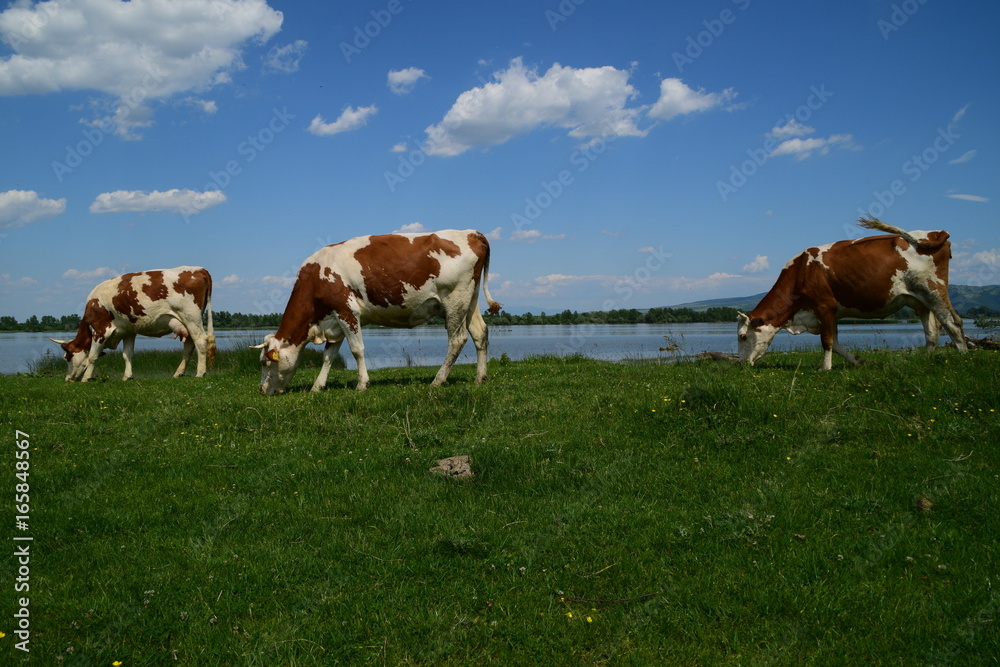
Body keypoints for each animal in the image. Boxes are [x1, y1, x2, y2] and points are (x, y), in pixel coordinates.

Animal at [51, 266, 216, 380]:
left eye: (67, 357)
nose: (68, 379)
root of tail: (199, 269)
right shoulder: (128, 331)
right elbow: (127, 354)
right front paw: (127, 376)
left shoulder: (100, 330)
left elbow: (92, 356)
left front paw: (86, 378)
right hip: (188, 321)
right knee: (189, 345)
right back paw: (179, 373)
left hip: (191, 316)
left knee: (201, 341)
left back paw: (200, 373)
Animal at [256, 231, 500, 394]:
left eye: (265, 363)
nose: (262, 390)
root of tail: (470, 232)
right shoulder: (335, 321)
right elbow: (328, 356)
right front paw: (318, 386)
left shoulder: (347, 311)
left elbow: (357, 350)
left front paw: (362, 384)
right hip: (470, 300)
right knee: (480, 333)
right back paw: (480, 377)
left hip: (454, 299)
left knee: (457, 339)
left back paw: (438, 380)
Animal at [740, 219, 964, 374]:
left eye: (742, 336)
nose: (740, 363)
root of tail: (936, 233)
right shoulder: (831, 313)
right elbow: (837, 343)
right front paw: (858, 361)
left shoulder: (824, 306)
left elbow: (827, 341)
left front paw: (825, 368)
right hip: (920, 300)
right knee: (932, 330)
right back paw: (927, 358)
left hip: (933, 290)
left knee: (952, 321)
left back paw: (964, 356)